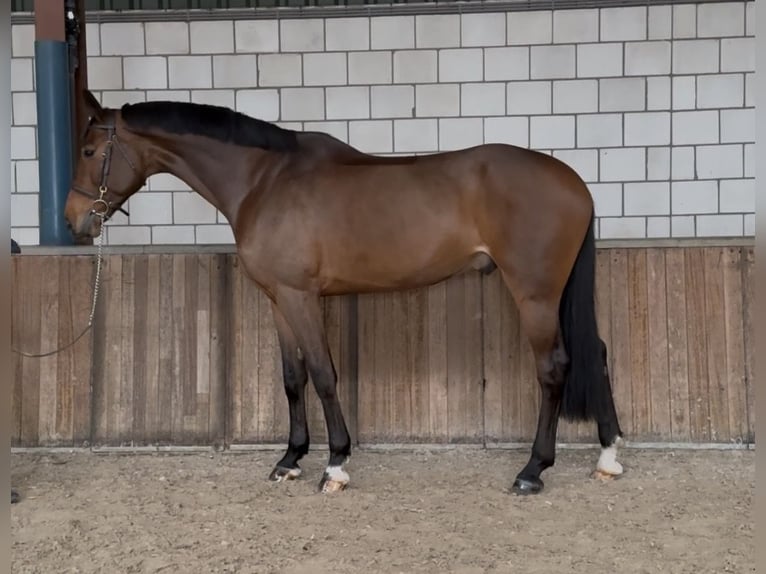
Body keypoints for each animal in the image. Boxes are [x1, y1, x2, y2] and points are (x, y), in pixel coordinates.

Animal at [64, 90, 625, 495]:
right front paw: (290, 458)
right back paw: (608, 455)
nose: (74, 221)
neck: (264, 181)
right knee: (596, 353)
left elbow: (324, 375)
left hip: (535, 294)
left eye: (89, 151)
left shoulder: (301, 297)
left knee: (553, 368)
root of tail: (574, 182)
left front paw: (334, 463)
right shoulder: (279, 300)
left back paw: (532, 470)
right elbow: (293, 379)